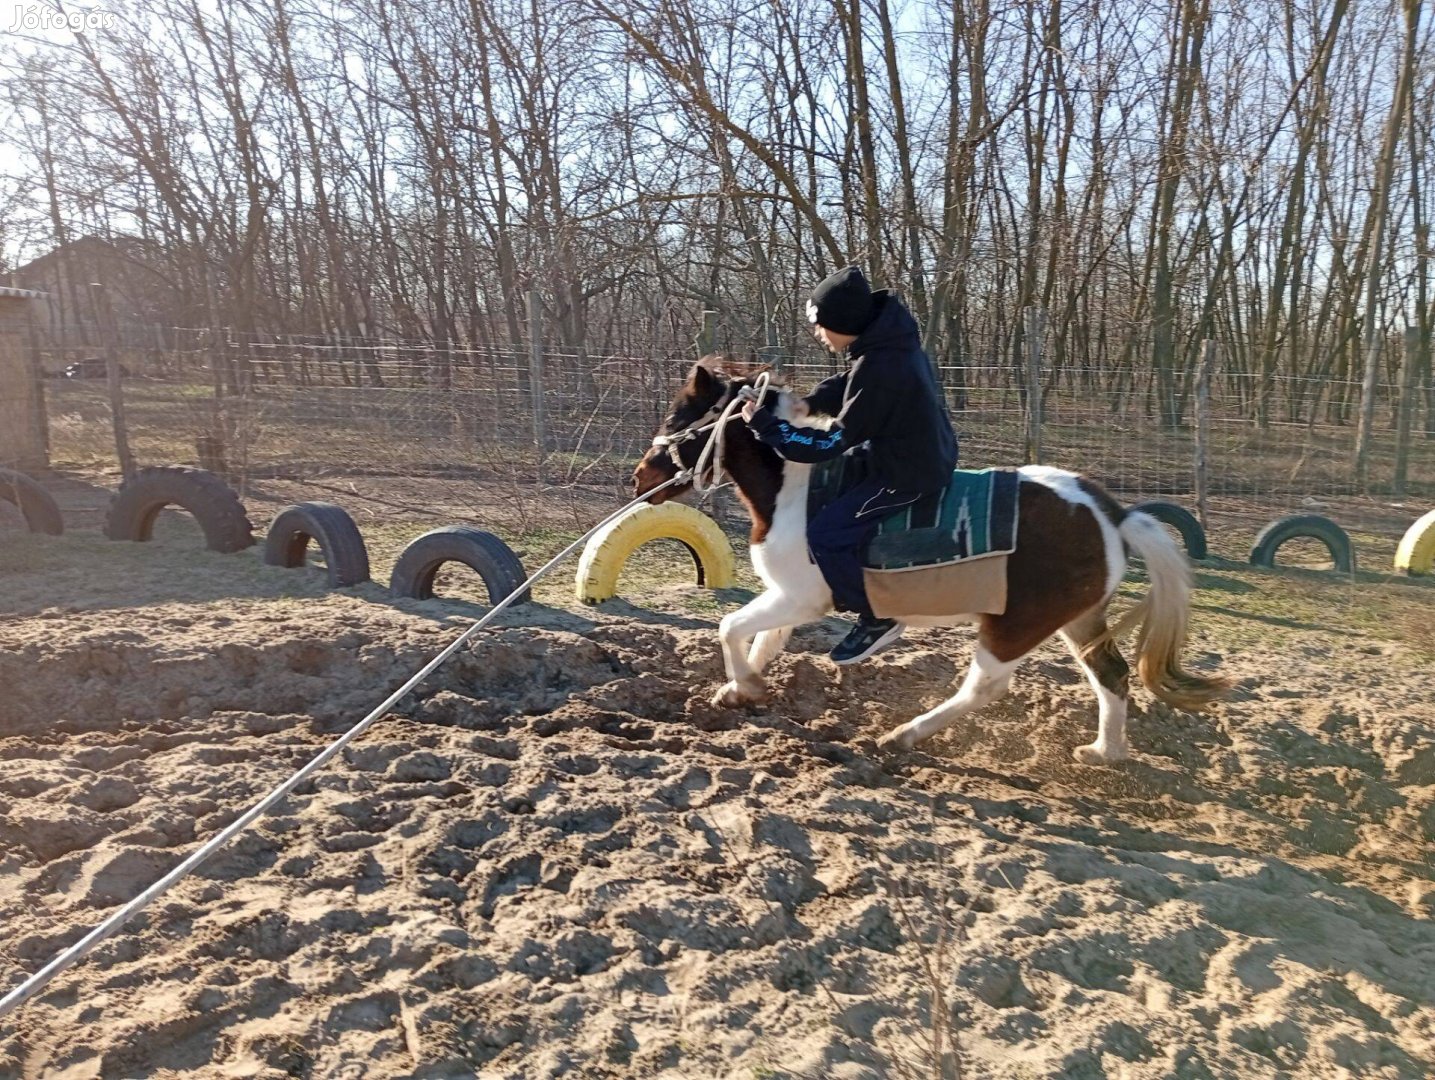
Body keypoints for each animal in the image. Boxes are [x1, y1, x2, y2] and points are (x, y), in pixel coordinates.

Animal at [634, 360, 1228, 757]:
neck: (795, 490)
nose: (640, 476)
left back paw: (903, 735)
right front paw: (740, 691)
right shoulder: (785, 598)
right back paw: (1105, 752)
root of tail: (1112, 514)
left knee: (986, 686)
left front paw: (748, 687)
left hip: (1014, 626)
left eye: (678, 415)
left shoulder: (802, 597)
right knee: (1111, 674)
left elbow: (732, 627)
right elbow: (758, 640)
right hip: (1078, 619)